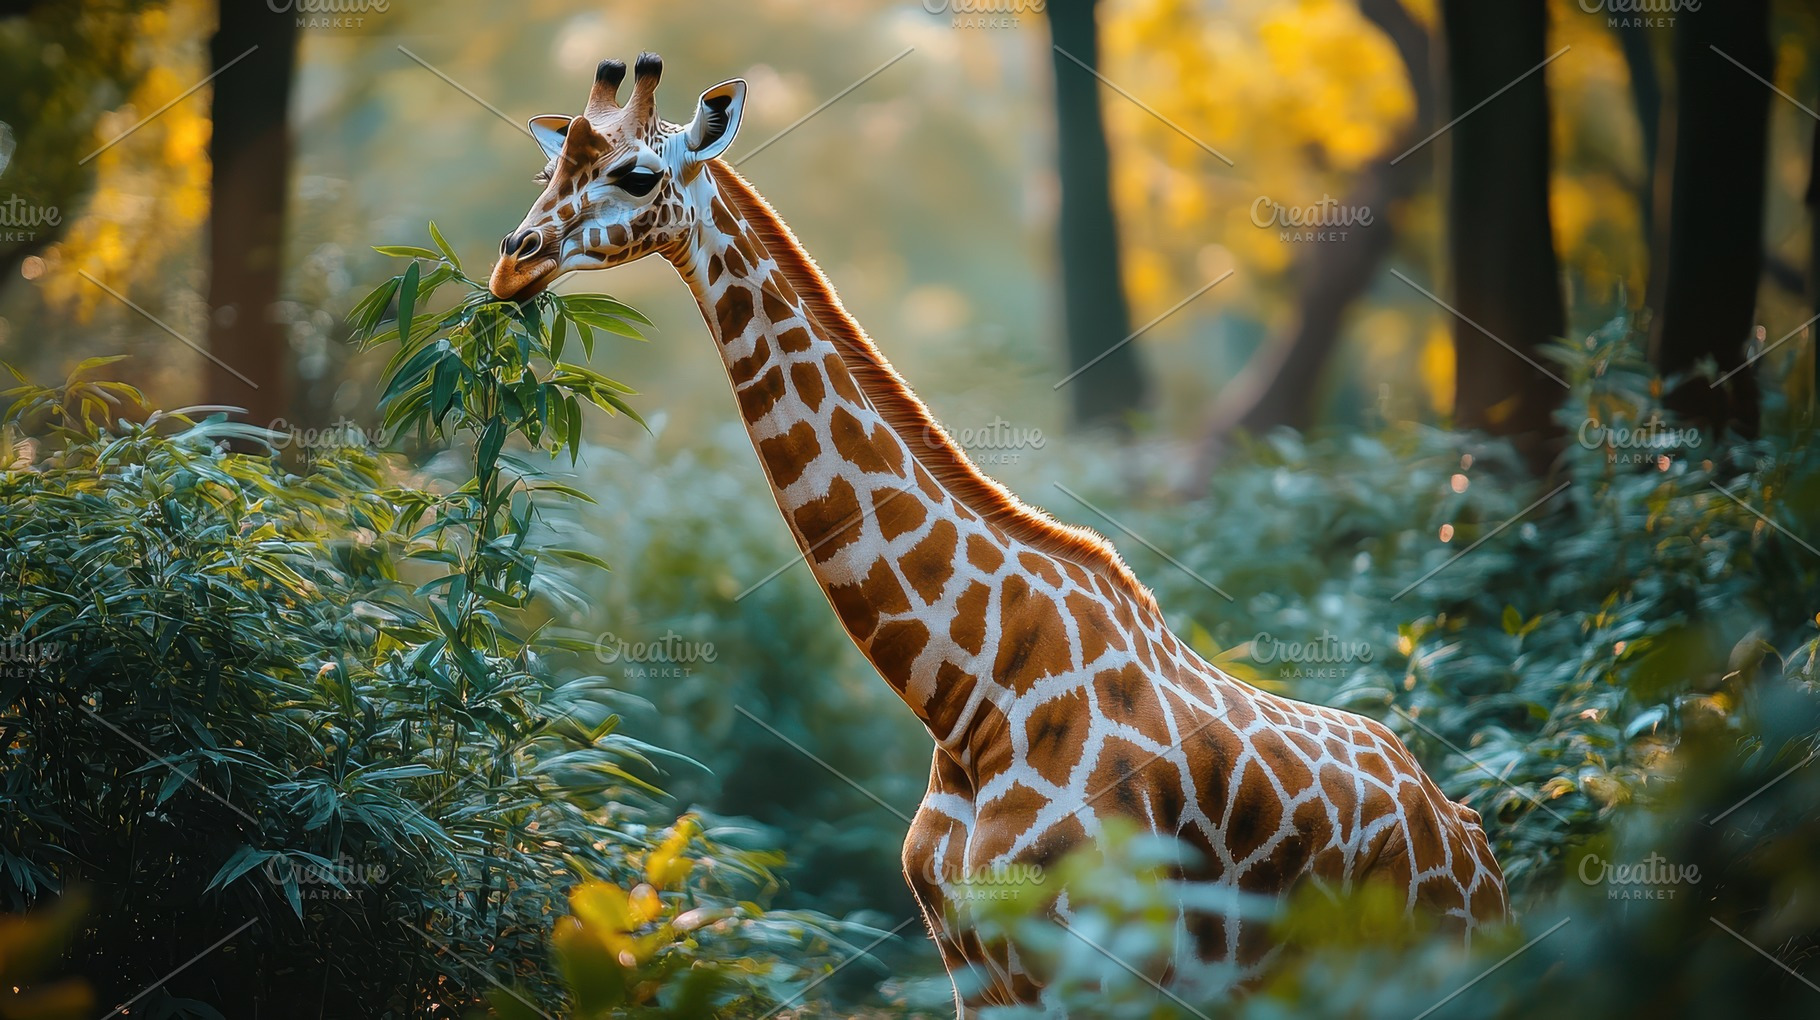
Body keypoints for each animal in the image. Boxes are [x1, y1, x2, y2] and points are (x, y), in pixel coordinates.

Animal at [488, 55, 1509, 1013]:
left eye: (634, 175)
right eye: (550, 168)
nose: (513, 260)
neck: (966, 693)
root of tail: (1471, 842)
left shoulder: (1099, 973)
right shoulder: (974, 974)